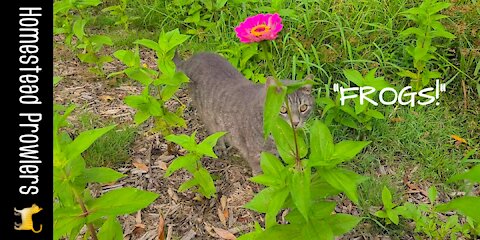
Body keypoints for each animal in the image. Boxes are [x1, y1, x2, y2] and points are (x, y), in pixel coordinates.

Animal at [176, 52, 316, 173]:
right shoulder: (256, 155)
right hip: (208, 116)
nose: (296, 122)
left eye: (303, 108)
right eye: (282, 110)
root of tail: (192, 58)